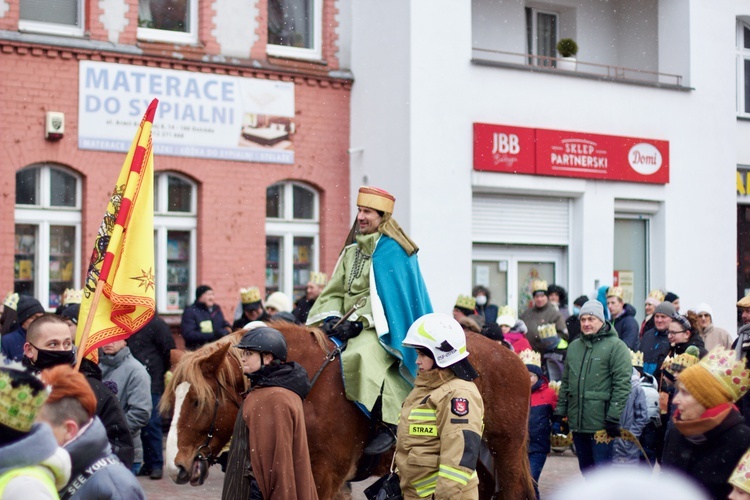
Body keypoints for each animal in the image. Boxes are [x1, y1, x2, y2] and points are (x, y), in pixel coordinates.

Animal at [162, 322, 536, 498]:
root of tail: (514, 359)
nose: (175, 466)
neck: (301, 384)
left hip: (505, 449)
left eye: (198, 402)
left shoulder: (324, 475)